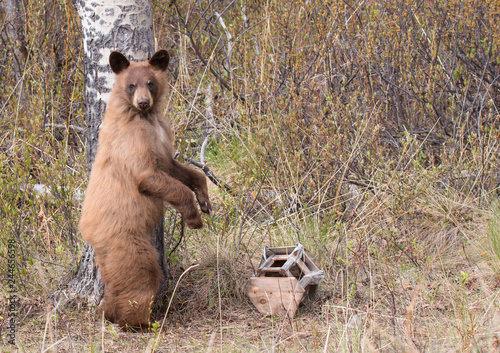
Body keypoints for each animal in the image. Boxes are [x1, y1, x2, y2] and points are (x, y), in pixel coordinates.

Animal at [79, 49, 211, 328]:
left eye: (150, 82)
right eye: (131, 85)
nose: (142, 102)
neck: (146, 117)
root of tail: (88, 232)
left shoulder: (163, 141)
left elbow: (178, 169)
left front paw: (205, 201)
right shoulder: (133, 140)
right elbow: (148, 176)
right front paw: (194, 218)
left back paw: (109, 312)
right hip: (127, 240)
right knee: (141, 274)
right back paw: (141, 322)